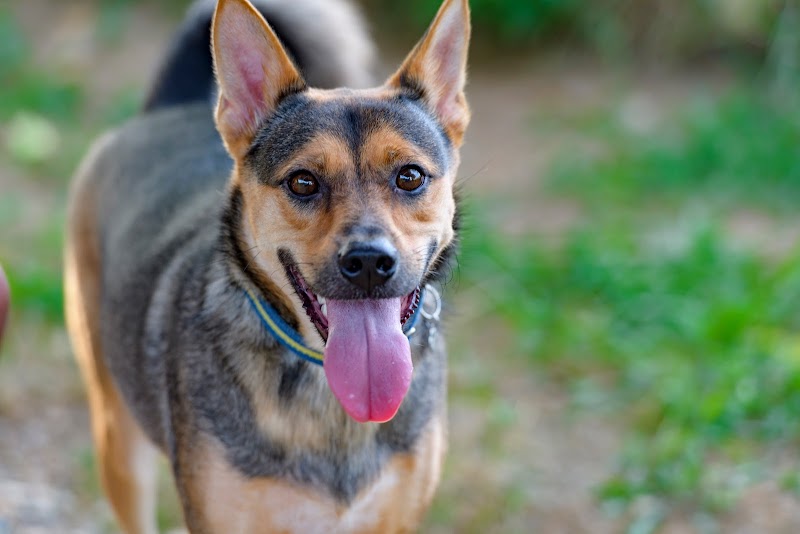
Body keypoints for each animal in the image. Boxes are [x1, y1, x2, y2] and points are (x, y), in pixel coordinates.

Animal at [65, 0, 468, 532]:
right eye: (302, 182)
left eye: (410, 176)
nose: (368, 262)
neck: (327, 391)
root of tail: (169, 109)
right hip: (118, 439)